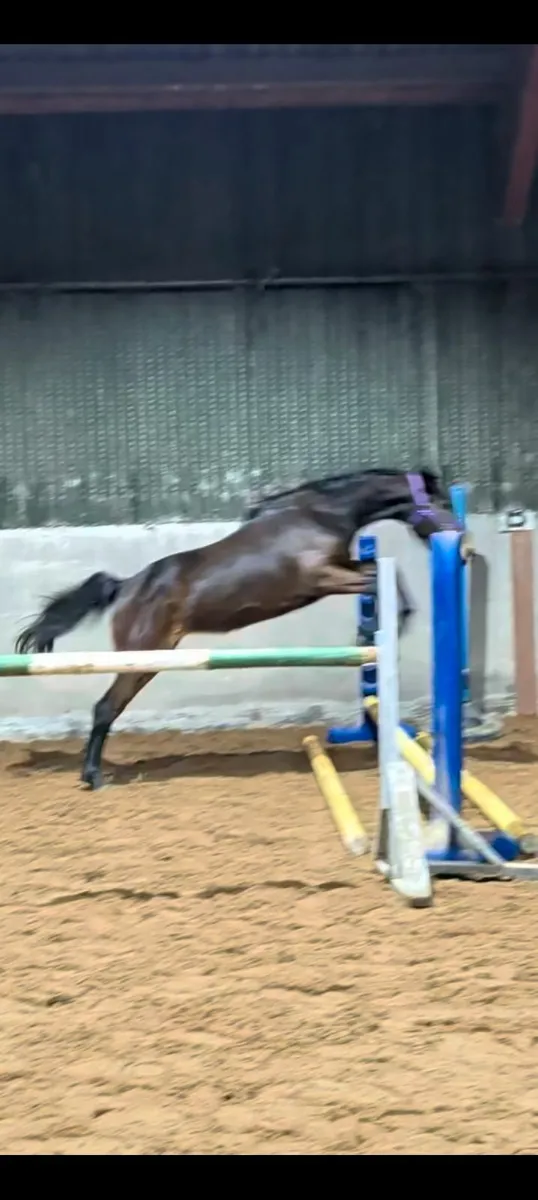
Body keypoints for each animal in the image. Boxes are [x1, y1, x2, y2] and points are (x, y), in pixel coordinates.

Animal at [14, 467, 463, 790]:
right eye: (440, 500)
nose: (461, 540)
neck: (320, 514)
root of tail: (125, 587)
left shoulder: (340, 569)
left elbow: (376, 572)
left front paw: (373, 632)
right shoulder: (322, 578)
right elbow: (376, 578)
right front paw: (388, 625)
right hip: (143, 658)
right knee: (106, 708)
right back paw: (93, 778)